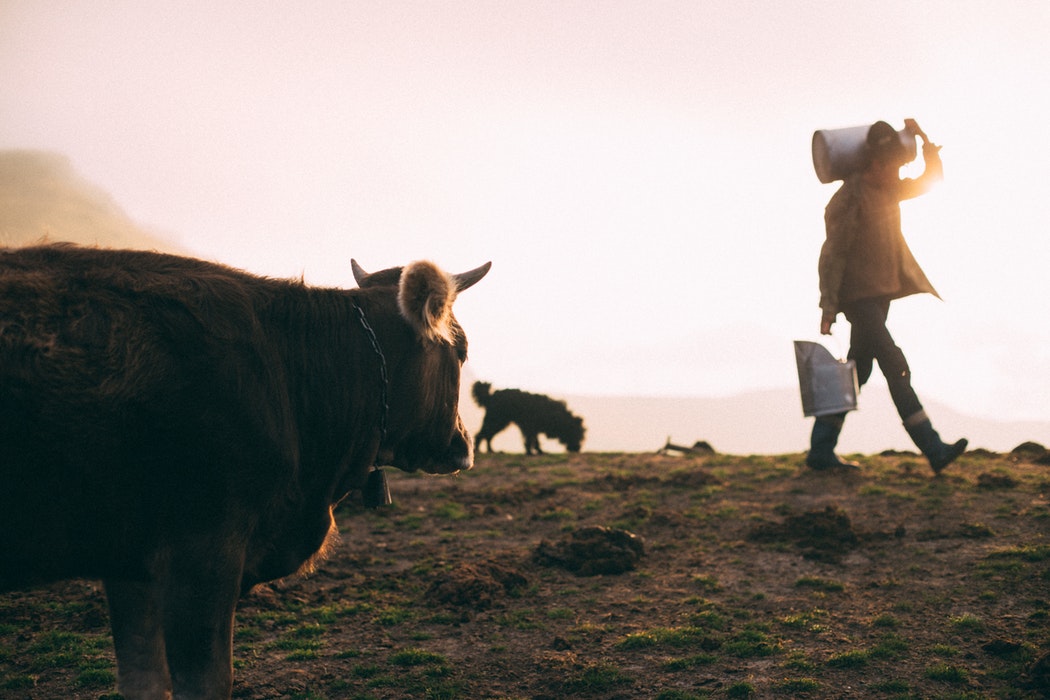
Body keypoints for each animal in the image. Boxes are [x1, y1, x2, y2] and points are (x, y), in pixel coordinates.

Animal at [0, 243, 491, 696]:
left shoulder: (128, 559)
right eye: (463, 351)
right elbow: (207, 681)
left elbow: (143, 679)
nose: (463, 443)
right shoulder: (202, 551)